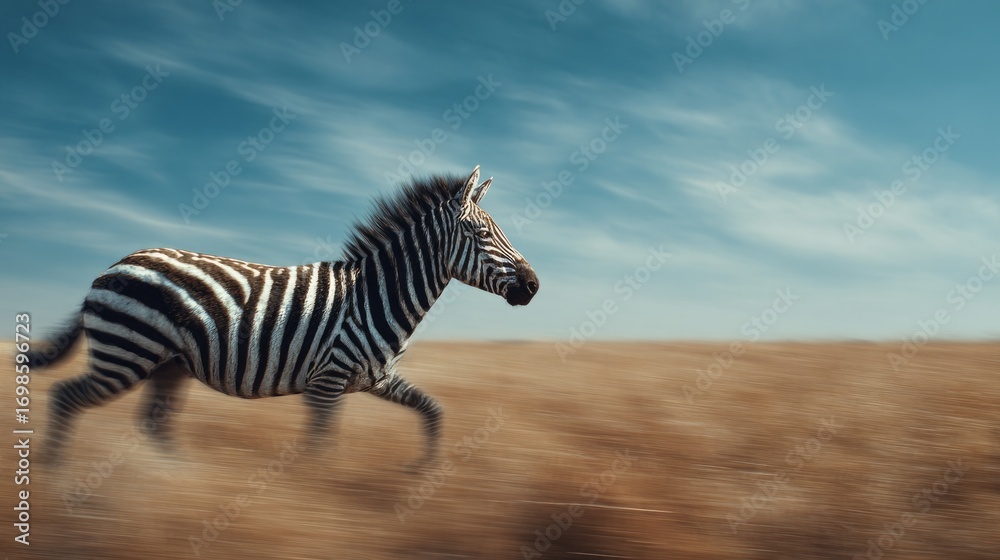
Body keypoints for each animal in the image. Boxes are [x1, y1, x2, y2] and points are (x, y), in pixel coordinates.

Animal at [30, 165, 539, 467]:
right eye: (480, 234)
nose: (533, 286)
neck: (376, 295)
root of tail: (114, 265)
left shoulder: (375, 378)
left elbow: (432, 411)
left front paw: (423, 473)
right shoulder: (327, 381)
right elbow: (320, 448)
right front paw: (312, 499)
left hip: (166, 365)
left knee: (152, 424)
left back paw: (178, 477)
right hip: (128, 352)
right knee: (66, 397)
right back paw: (57, 474)